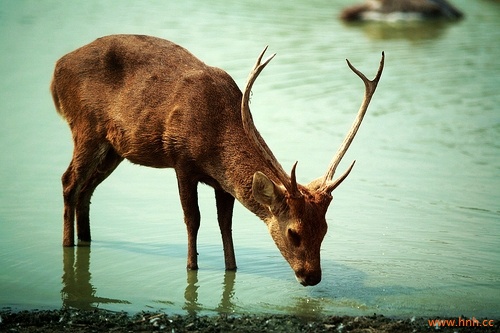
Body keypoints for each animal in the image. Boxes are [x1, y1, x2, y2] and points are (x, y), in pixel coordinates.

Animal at [50, 35, 384, 286]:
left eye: (325, 230)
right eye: (294, 232)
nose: (312, 277)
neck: (215, 142)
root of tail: (56, 70)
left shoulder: (222, 184)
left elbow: (226, 224)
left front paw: (231, 268)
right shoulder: (181, 161)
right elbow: (193, 218)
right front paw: (191, 268)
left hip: (114, 149)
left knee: (86, 189)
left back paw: (85, 240)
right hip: (86, 125)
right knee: (69, 181)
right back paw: (67, 245)